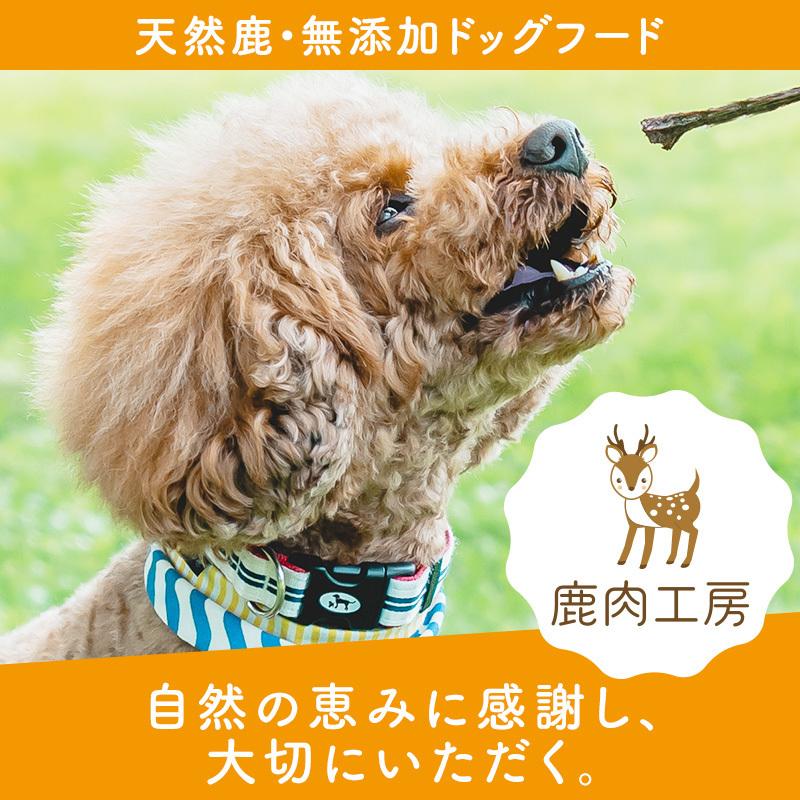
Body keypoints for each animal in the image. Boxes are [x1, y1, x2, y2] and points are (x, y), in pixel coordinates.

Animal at [605, 425, 700, 569]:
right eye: (618, 479)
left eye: (644, 479)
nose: (631, 488)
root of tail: (692, 491)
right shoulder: (633, 525)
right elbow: (628, 542)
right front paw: (621, 561)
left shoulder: (649, 525)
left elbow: (648, 544)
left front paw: (642, 565)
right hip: (676, 524)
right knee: (678, 536)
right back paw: (670, 560)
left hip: (684, 521)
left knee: (695, 531)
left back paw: (685, 563)